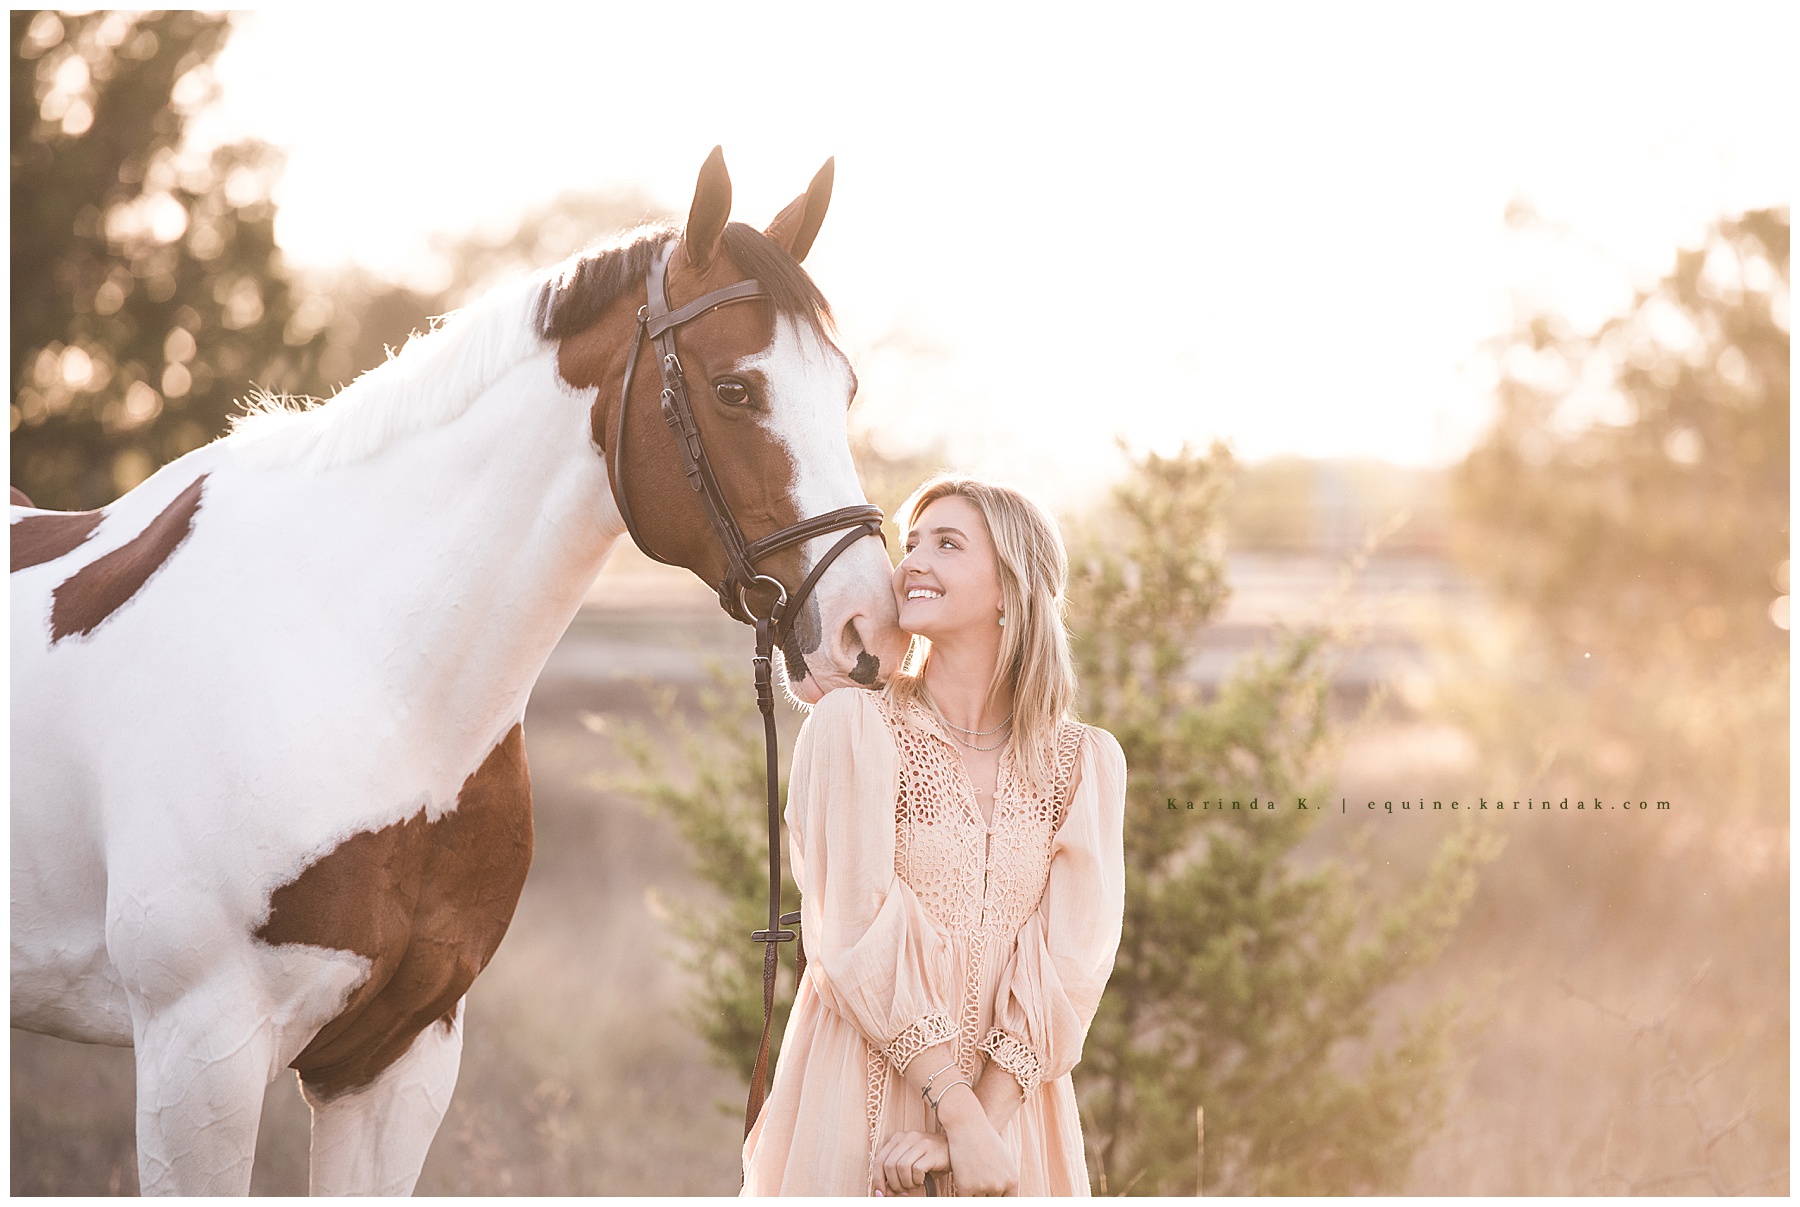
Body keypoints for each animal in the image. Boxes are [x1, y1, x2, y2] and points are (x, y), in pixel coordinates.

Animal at [10, 148, 909, 1195]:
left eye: (844, 391)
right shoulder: (197, 1055)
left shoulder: (396, 1053)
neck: (366, 676)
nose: (870, 628)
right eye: (735, 391)